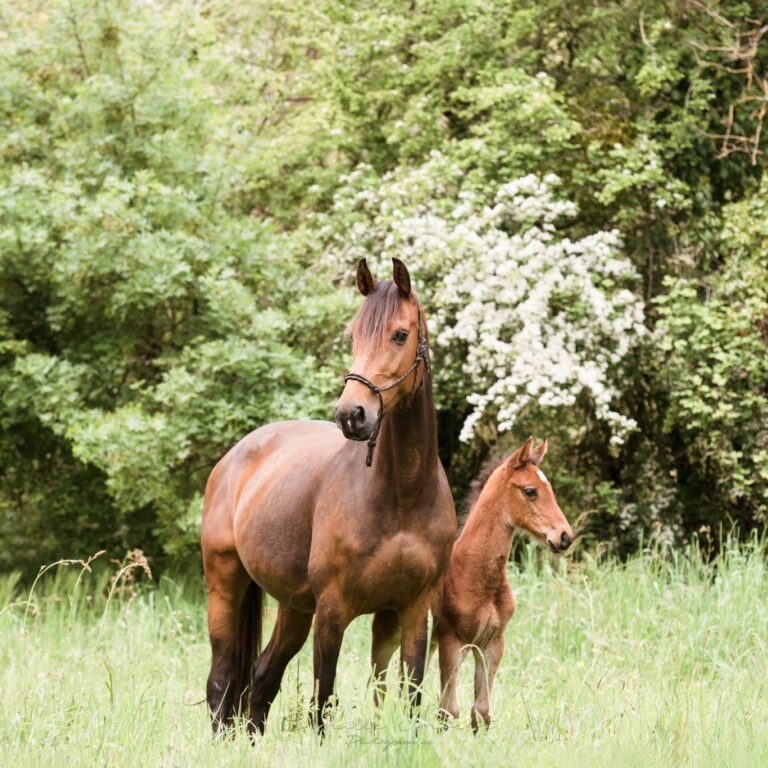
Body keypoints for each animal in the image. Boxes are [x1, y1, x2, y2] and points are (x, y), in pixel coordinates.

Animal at [432, 438, 568, 732]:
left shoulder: (492, 644)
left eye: (550, 488)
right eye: (530, 491)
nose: (565, 536)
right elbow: (448, 710)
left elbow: (481, 711)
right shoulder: (452, 641)